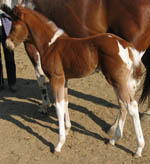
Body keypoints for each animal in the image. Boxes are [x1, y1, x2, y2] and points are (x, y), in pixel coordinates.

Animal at [6, 5, 145, 156]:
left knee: (132, 106)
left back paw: (138, 149)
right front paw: (67, 128)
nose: (7, 44)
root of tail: (125, 45)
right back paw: (113, 140)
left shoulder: (56, 79)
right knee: (122, 105)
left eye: (14, 25)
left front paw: (59, 144)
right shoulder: (64, 80)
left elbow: (59, 106)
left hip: (118, 81)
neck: (50, 45)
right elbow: (65, 102)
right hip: (117, 81)